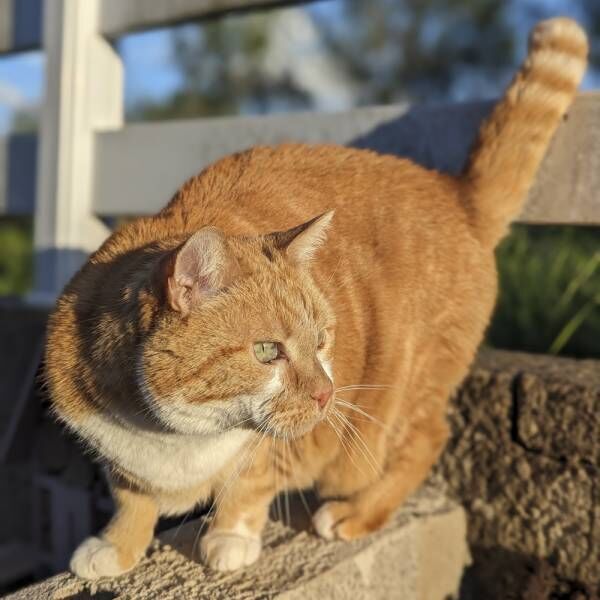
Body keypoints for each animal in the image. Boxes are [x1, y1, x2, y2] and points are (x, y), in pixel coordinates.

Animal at [45, 18, 584, 580]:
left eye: (322, 340)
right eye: (267, 351)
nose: (328, 394)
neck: (174, 436)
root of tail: (455, 192)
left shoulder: (286, 445)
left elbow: (250, 484)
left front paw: (230, 536)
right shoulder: (116, 457)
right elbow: (131, 498)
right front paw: (117, 546)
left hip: (395, 405)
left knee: (426, 440)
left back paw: (355, 513)